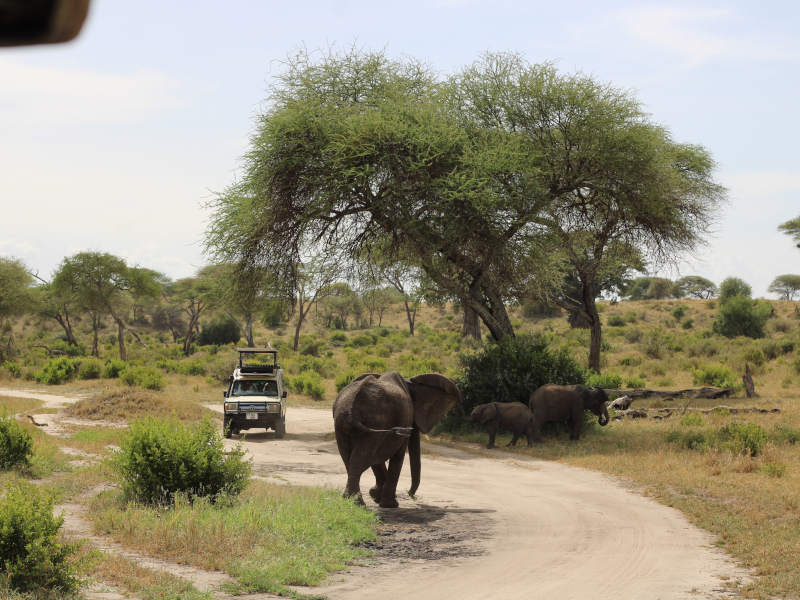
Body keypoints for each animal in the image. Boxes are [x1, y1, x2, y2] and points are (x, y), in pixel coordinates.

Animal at [332, 372, 460, 508]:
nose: (411, 495)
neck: (409, 382)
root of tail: (351, 410)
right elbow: (397, 455)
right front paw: (390, 504)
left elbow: (377, 458)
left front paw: (376, 496)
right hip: (376, 420)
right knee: (361, 457)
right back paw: (357, 503)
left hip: (343, 424)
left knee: (351, 457)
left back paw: (351, 501)